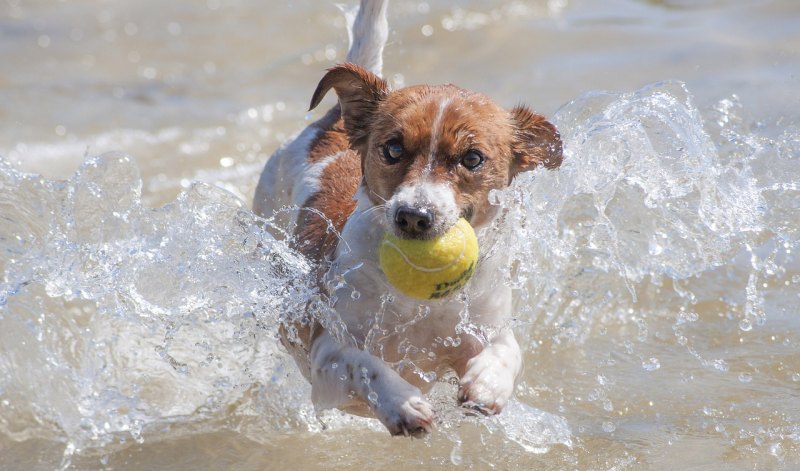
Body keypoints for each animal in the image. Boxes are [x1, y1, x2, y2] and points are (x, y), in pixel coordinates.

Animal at [252, 0, 564, 436]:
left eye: (472, 159)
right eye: (393, 149)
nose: (414, 216)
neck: (420, 305)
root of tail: (333, 121)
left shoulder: (486, 327)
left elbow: (507, 351)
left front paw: (488, 384)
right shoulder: (326, 353)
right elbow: (365, 363)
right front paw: (401, 402)